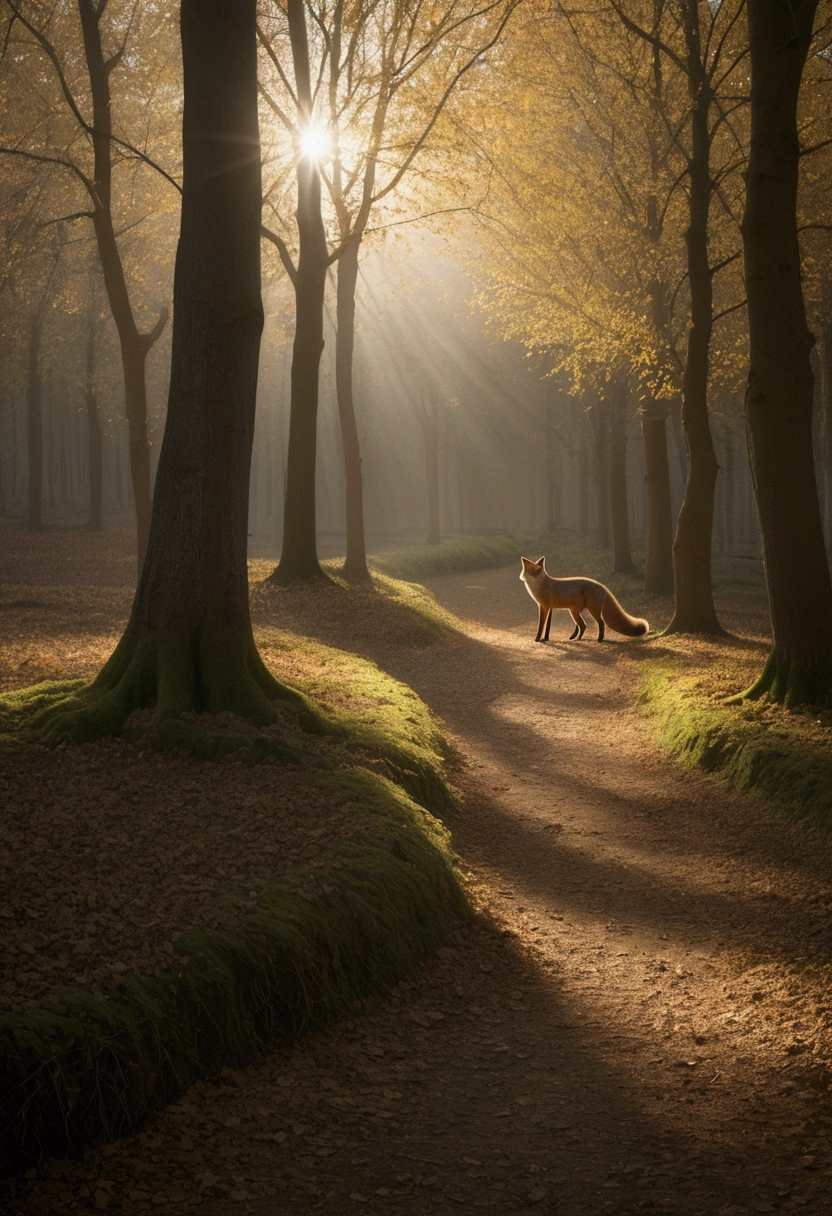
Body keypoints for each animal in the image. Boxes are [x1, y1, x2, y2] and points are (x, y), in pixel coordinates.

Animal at [520, 556, 651, 642]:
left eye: (528, 567)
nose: (521, 577)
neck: (541, 585)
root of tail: (601, 586)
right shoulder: (549, 608)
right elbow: (546, 627)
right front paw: (545, 638)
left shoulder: (544, 607)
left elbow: (541, 626)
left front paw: (538, 639)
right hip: (574, 611)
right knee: (583, 626)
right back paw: (577, 638)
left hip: (590, 611)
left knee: (599, 623)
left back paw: (599, 639)